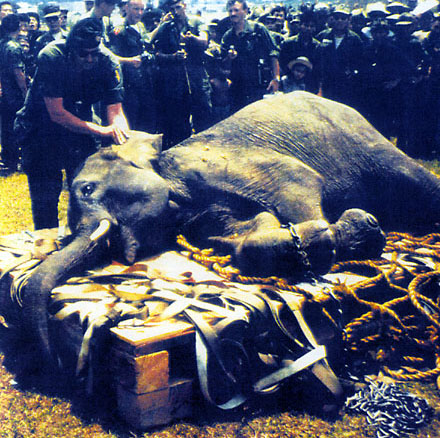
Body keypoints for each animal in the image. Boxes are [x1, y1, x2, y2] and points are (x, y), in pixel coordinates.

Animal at [18, 90, 440, 372]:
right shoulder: (203, 212)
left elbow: (300, 185)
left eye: (87, 189)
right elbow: (247, 232)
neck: (163, 162)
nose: (59, 363)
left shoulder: (232, 167)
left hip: (367, 142)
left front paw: (337, 237)